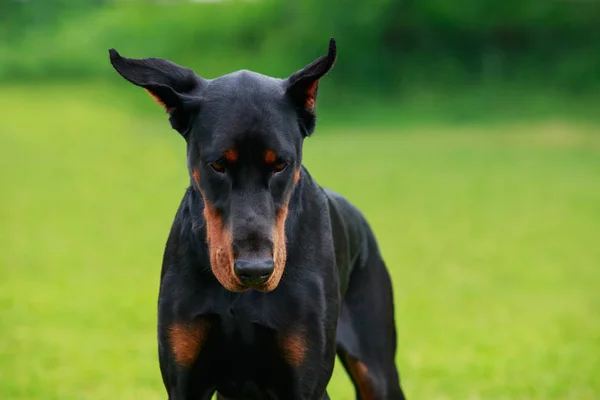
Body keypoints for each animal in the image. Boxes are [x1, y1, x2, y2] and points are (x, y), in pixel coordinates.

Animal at [109, 38, 408, 400]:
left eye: (280, 164)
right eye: (218, 165)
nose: (255, 270)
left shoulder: (305, 383)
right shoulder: (184, 381)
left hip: (377, 372)